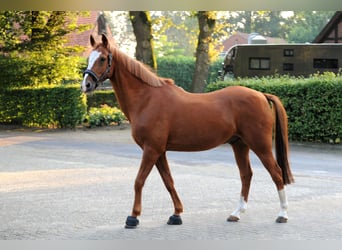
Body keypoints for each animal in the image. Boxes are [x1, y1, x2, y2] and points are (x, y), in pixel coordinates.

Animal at [81, 34, 294, 229]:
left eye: (102, 58)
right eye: (89, 57)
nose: (86, 85)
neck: (147, 99)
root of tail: (261, 95)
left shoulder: (151, 150)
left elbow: (139, 181)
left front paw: (133, 217)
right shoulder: (159, 151)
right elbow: (169, 181)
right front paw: (176, 214)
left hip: (260, 145)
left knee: (276, 173)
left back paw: (282, 214)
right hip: (240, 144)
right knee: (246, 175)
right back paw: (236, 213)